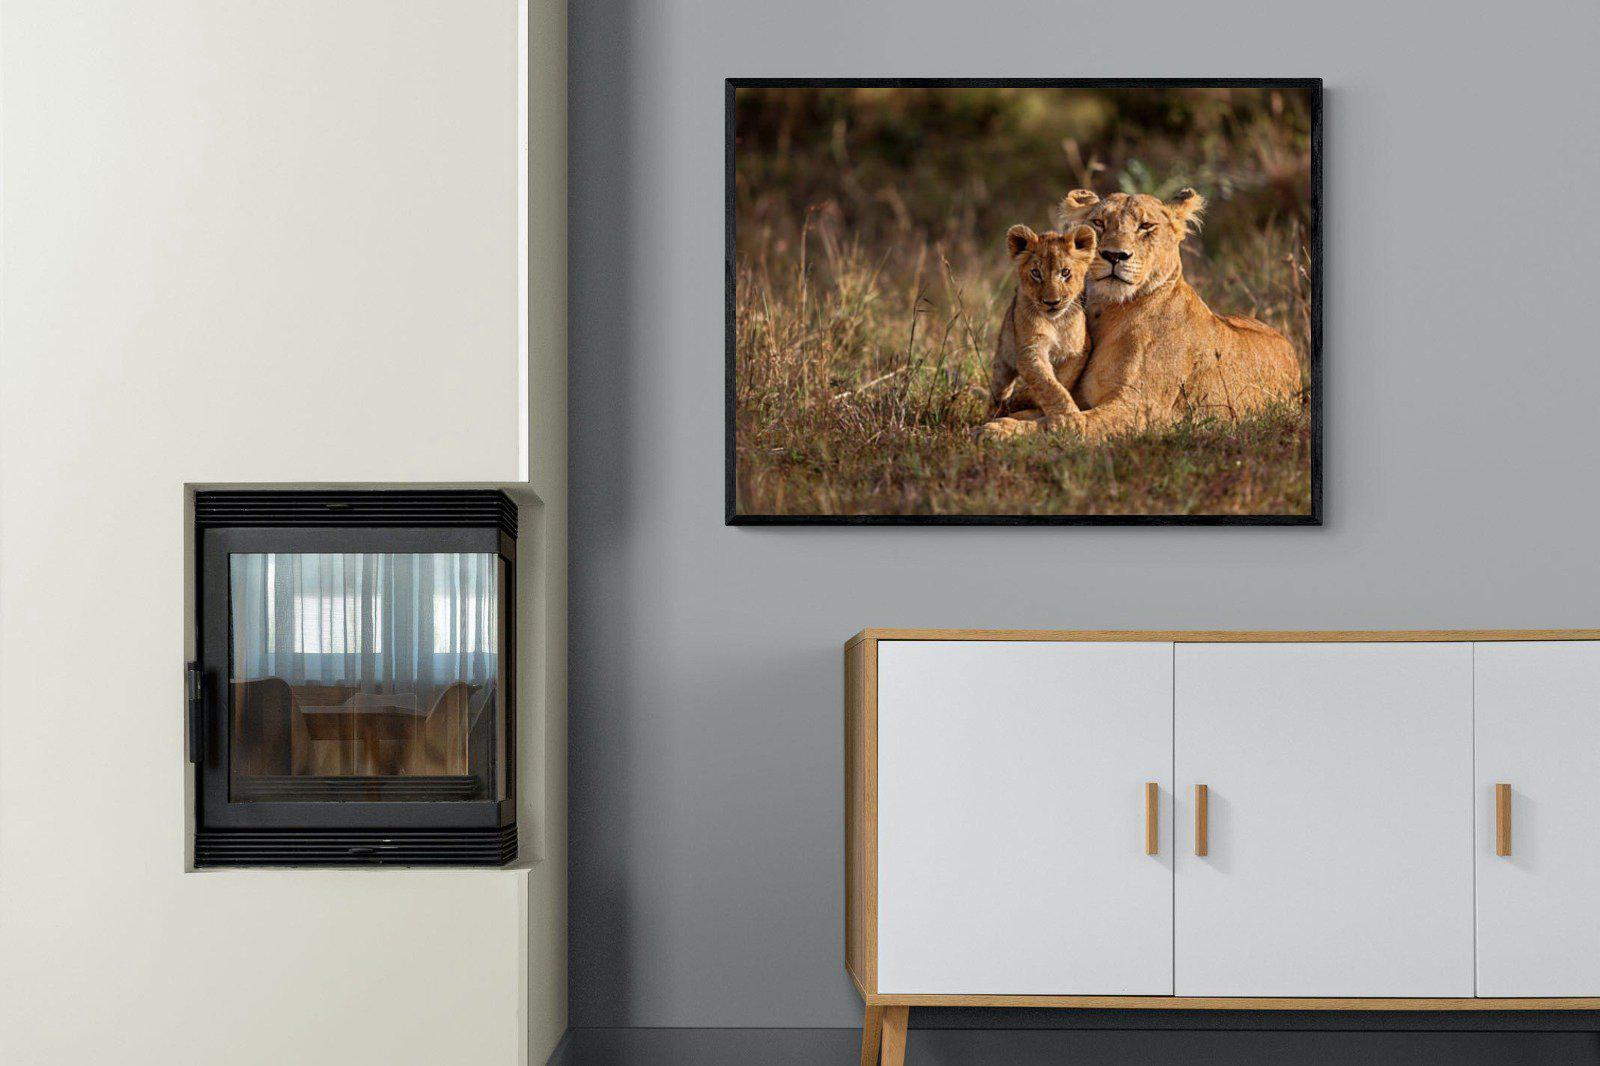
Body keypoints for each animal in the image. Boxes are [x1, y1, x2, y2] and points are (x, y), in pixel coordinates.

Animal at [987, 223, 1097, 421]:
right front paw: (1069, 418)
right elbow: (1048, 385)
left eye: (1065, 272)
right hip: (1003, 359)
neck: (1056, 322)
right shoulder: (1030, 349)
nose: (1052, 302)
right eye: (1036, 273)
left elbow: (1062, 380)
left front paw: (1026, 398)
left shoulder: (1079, 350)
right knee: (998, 390)